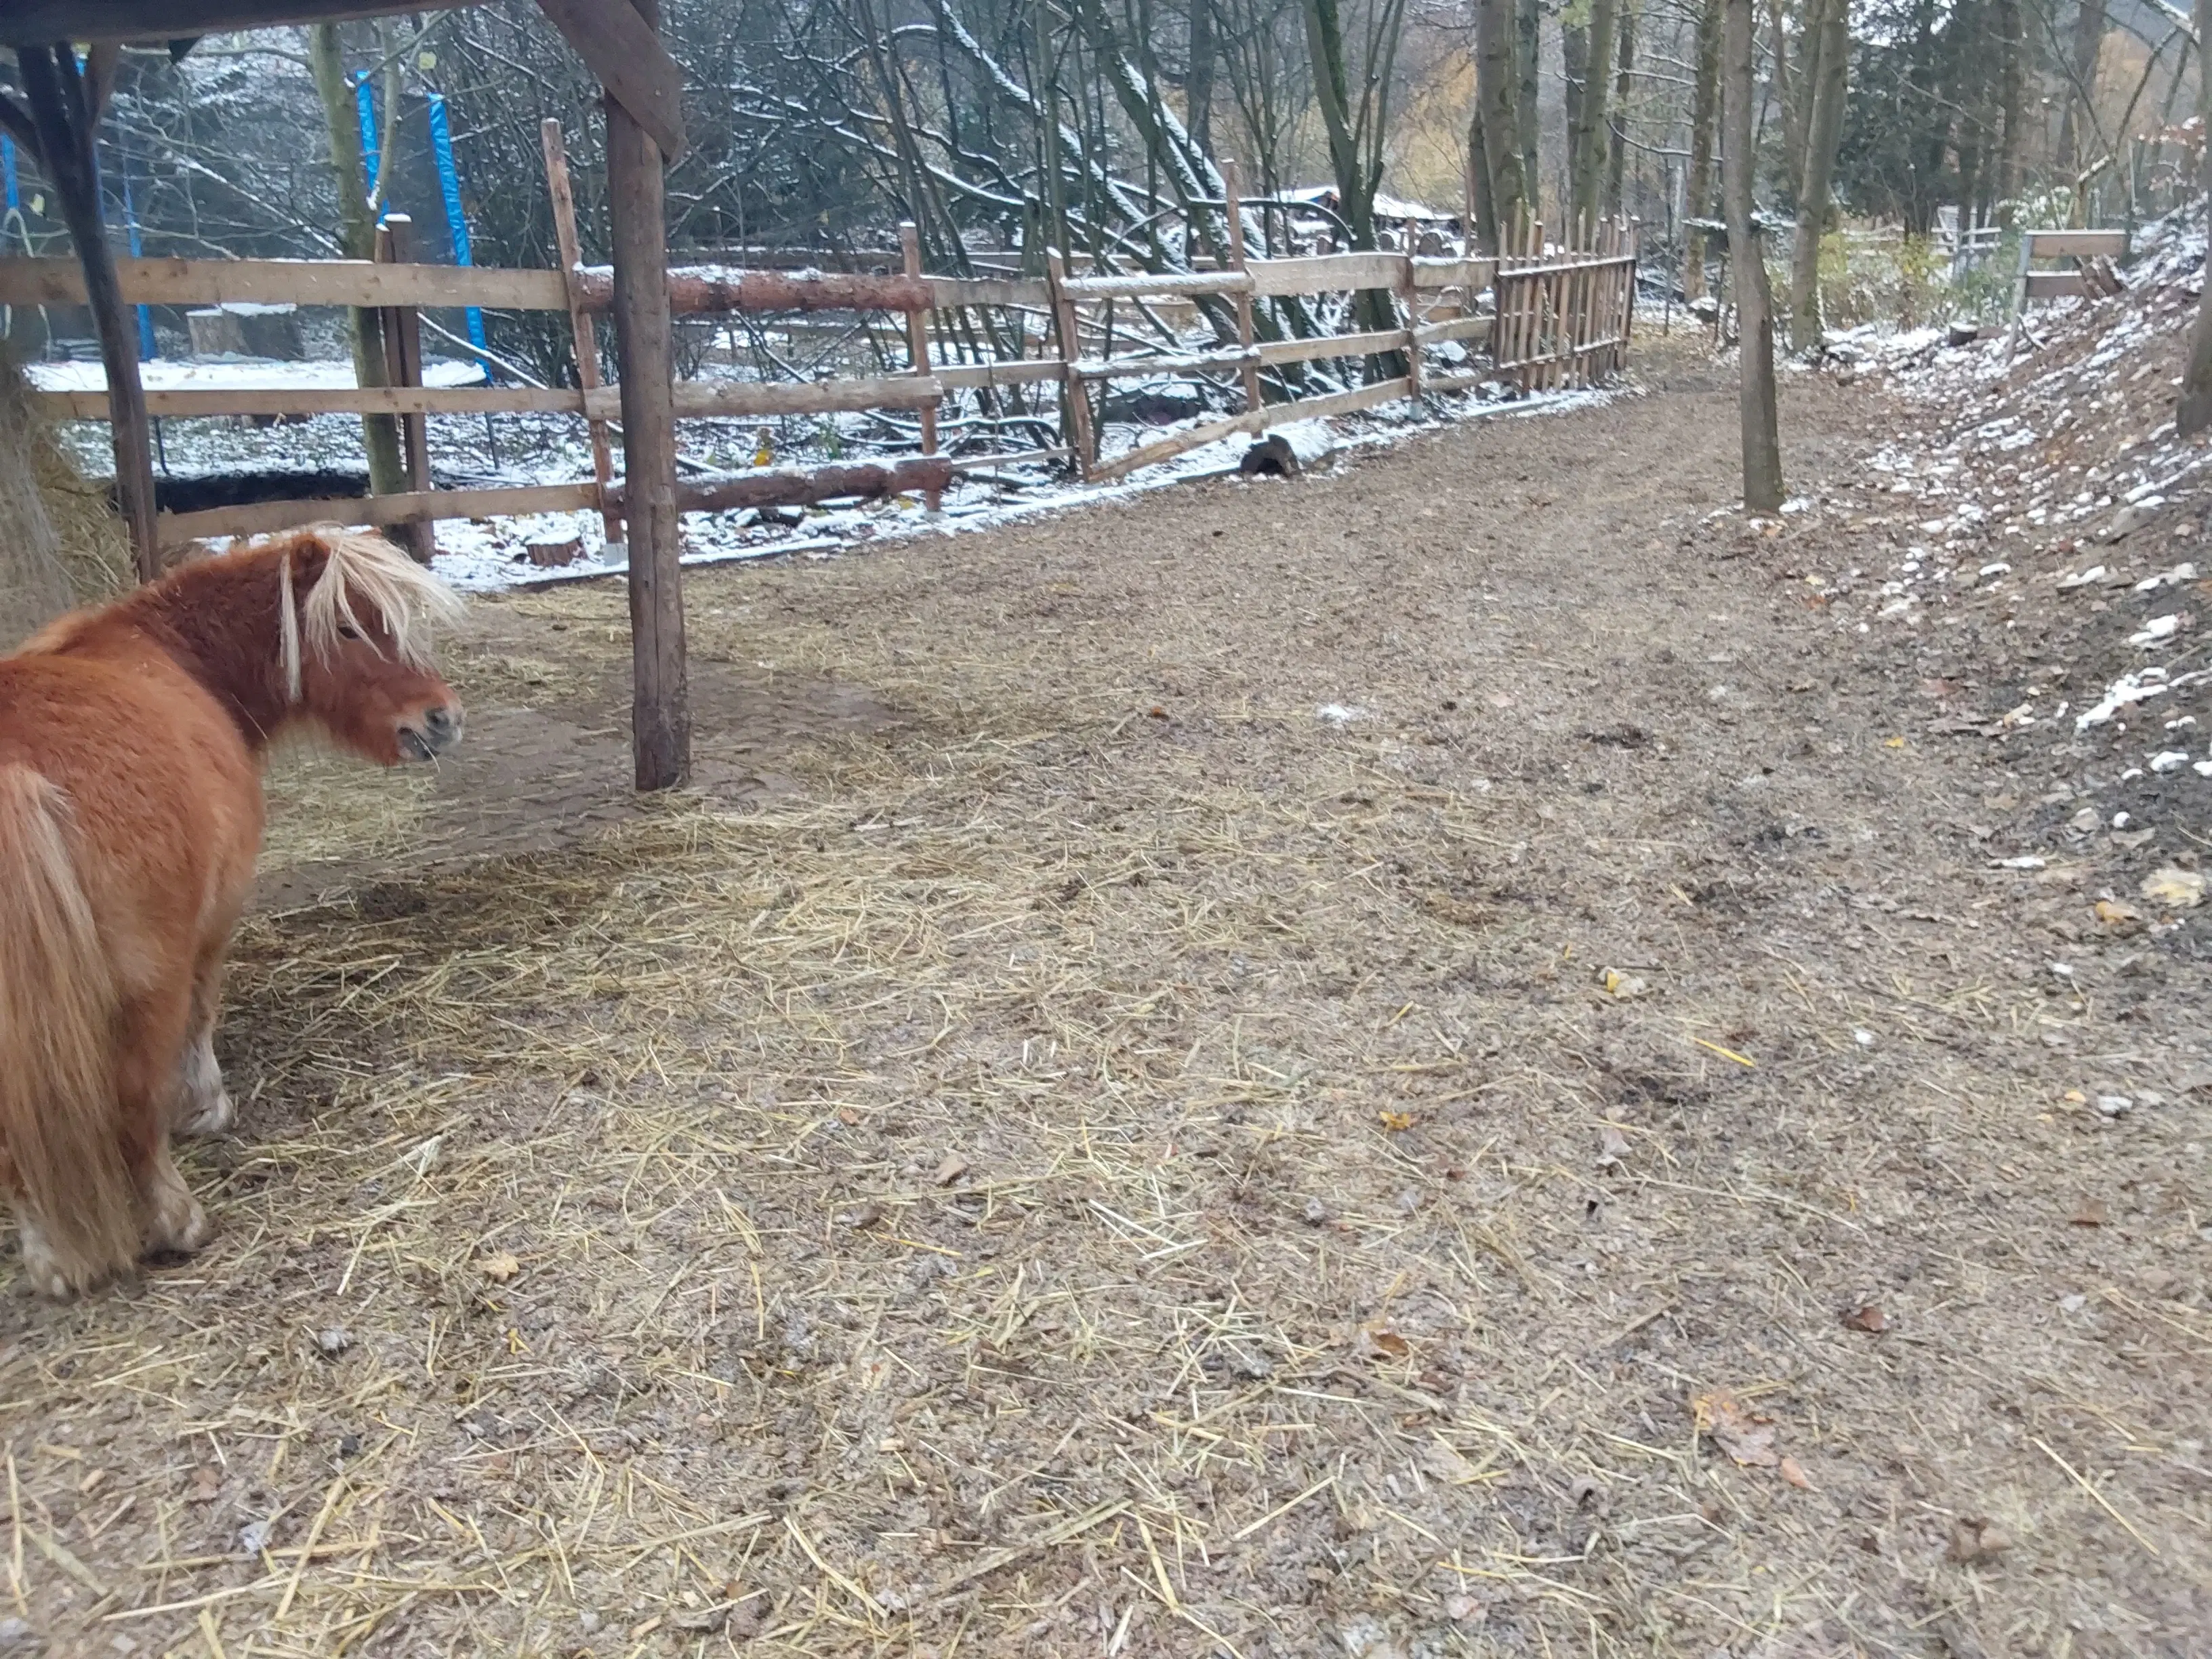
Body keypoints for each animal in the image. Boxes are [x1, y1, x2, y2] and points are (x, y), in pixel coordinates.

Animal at [0, 529, 459, 1300]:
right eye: (348, 627)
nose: (442, 717)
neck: (169, 652)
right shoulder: (212, 925)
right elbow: (201, 1012)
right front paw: (206, 1107)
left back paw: (49, 1262)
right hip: (146, 981)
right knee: (133, 1108)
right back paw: (176, 1223)